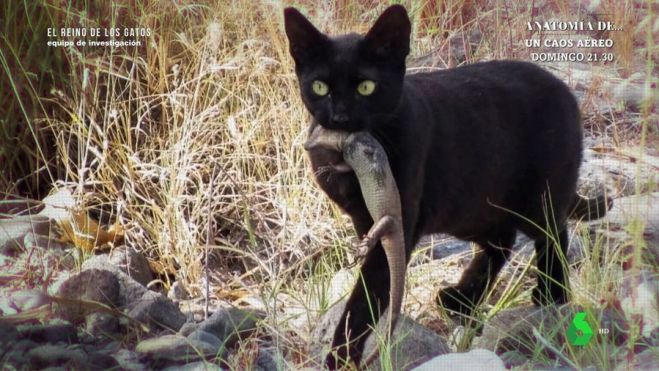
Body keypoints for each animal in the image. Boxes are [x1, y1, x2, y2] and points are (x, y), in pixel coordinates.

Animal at [284, 3, 608, 370]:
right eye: (320, 87)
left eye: (366, 87)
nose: (340, 119)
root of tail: (564, 89)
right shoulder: (363, 220)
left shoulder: (398, 222)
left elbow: (364, 299)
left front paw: (340, 358)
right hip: (471, 206)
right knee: (501, 242)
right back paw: (460, 300)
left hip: (534, 199)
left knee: (553, 233)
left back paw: (551, 297)